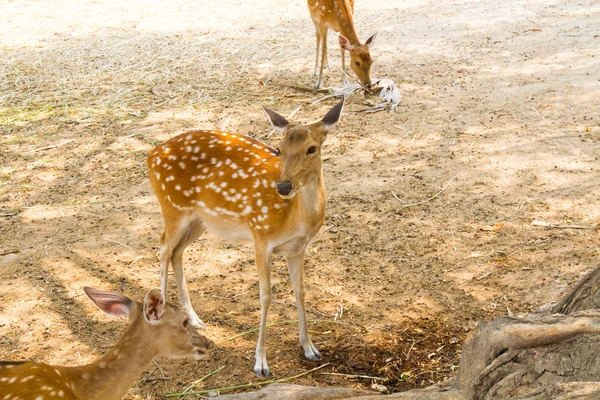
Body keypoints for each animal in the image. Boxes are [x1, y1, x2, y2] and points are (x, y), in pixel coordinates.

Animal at [147, 98, 344, 376]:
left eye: (311, 148)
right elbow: (266, 296)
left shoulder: (298, 248)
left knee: (176, 251)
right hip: (172, 206)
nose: (283, 186)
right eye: (279, 148)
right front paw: (261, 363)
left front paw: (310, 348)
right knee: (163, 246)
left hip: (200, 220)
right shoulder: (260, 237)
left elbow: (300, 292)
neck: (294, 218)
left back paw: (194, 319)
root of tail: (150, 156)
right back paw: (162, 316)